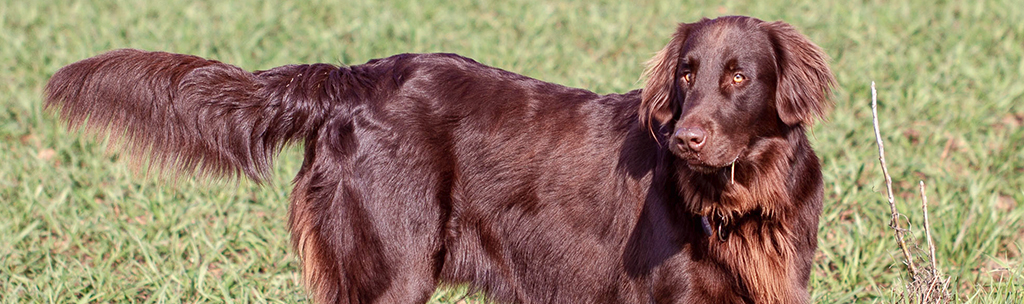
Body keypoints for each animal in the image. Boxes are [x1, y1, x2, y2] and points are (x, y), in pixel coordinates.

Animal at [44, 16, 835, 302]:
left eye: (737, 78)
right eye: (685, 75)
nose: (683, 139)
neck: (740, 198)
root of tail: (351, 78)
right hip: (392, 267)